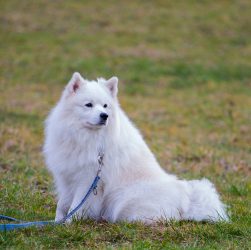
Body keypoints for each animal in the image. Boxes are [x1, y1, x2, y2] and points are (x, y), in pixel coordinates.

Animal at [44, 72, 228, 223]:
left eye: (105, 106)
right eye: (88, 105)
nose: (105, 116)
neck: (85, 136)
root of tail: (187, 201)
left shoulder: (88, 181)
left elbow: (76, 206)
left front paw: (68, 224)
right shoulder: (67, 176)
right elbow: (63, 204)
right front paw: (57, 221)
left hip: (124, 198)